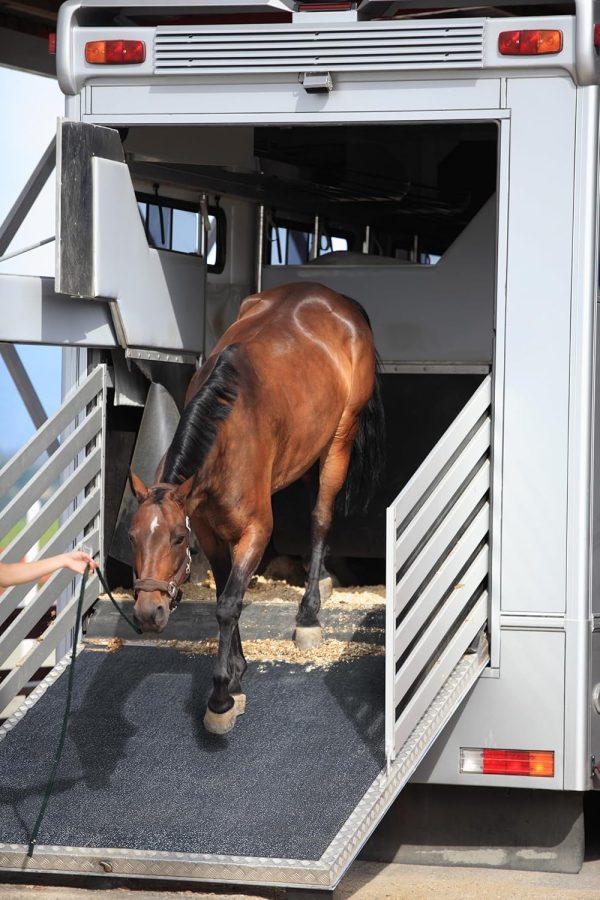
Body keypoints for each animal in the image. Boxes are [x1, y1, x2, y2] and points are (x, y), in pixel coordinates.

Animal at [129, 282, 386, 732]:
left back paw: (309, 614)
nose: (148, 612)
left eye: (177, 539)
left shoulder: (255, 532)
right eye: (132, 536)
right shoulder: (211, 534)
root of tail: (338, 300)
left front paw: (221, 696)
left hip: (339, 440)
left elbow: (230, 603)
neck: (227, 428)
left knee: (321, 518)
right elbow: (224, 597)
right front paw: (236, 672)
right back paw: (322, 577)